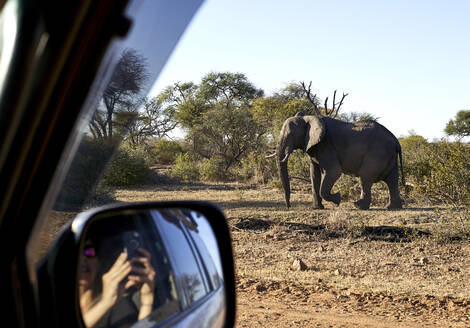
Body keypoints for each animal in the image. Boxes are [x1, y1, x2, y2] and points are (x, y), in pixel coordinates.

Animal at [276, 111, 404, 209]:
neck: (308, 118)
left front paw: (338, 199)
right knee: (392, 179)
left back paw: (358, 206)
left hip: (377, 153)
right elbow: (314, 174)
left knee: (366, 176)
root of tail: (396, 141)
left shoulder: (326, 145)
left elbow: (334, 172)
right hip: (389, 155)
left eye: (290, 134)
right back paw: (392, 207)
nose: (288, 207)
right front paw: (317, 208)